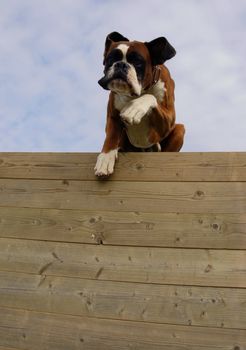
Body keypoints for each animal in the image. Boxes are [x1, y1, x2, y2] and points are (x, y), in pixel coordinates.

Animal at [94, 31, 184, 176]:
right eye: (111, 59)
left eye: (137, 62)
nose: (121, 65)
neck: (139, 92)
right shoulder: (112, 117)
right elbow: (111, 137)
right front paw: (106, 158)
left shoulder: (168, 120)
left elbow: (150, 97)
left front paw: (134, 108)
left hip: (180, 128)